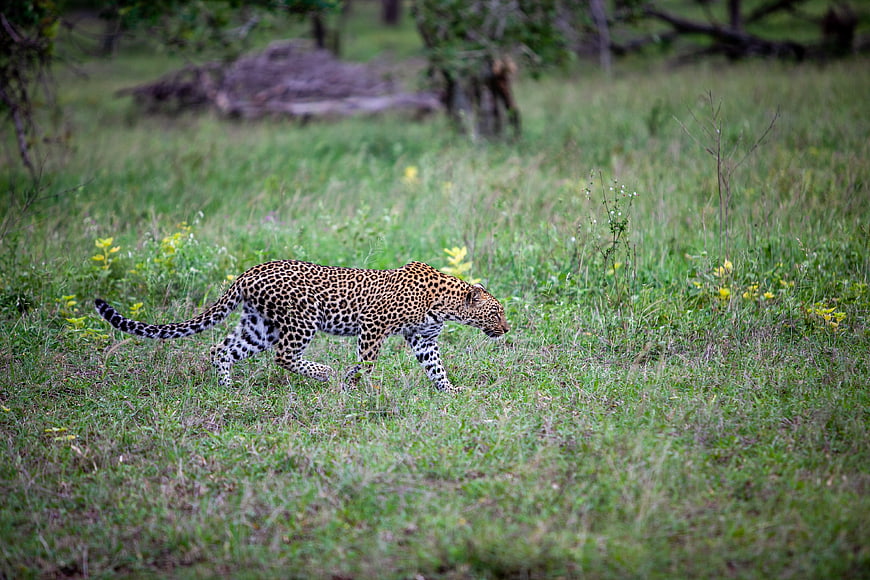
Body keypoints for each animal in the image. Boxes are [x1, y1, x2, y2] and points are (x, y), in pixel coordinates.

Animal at [94, 259, 509, 392]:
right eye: (496, 313)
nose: (506, 329)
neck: (445, 305)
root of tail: (248, 271)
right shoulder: (373, 326)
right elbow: (368, 361)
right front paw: (359, 386)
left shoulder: (423, 339)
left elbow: (436, 368)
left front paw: (450, 393)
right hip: (300, 321)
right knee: (284, 356)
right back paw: (323, 372)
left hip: (259, 326)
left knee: (220, 348)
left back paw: (227, 388)